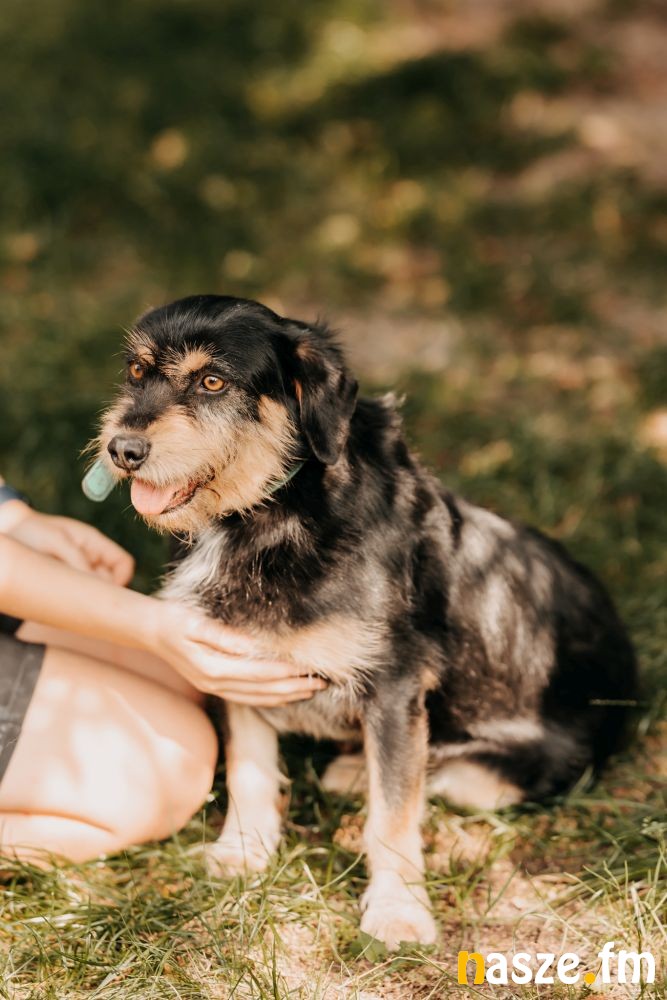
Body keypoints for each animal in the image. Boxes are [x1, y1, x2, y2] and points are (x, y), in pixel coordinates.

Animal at [95, 294, 637, 950]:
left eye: (212, 382)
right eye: (136, 371)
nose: (122, 450)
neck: (272, 512)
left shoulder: (394, 686)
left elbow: (394, 815)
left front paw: (398, 909)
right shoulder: (239, 665)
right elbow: (250, 770)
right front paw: (246, 852)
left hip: (510, 768)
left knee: (435, 777)